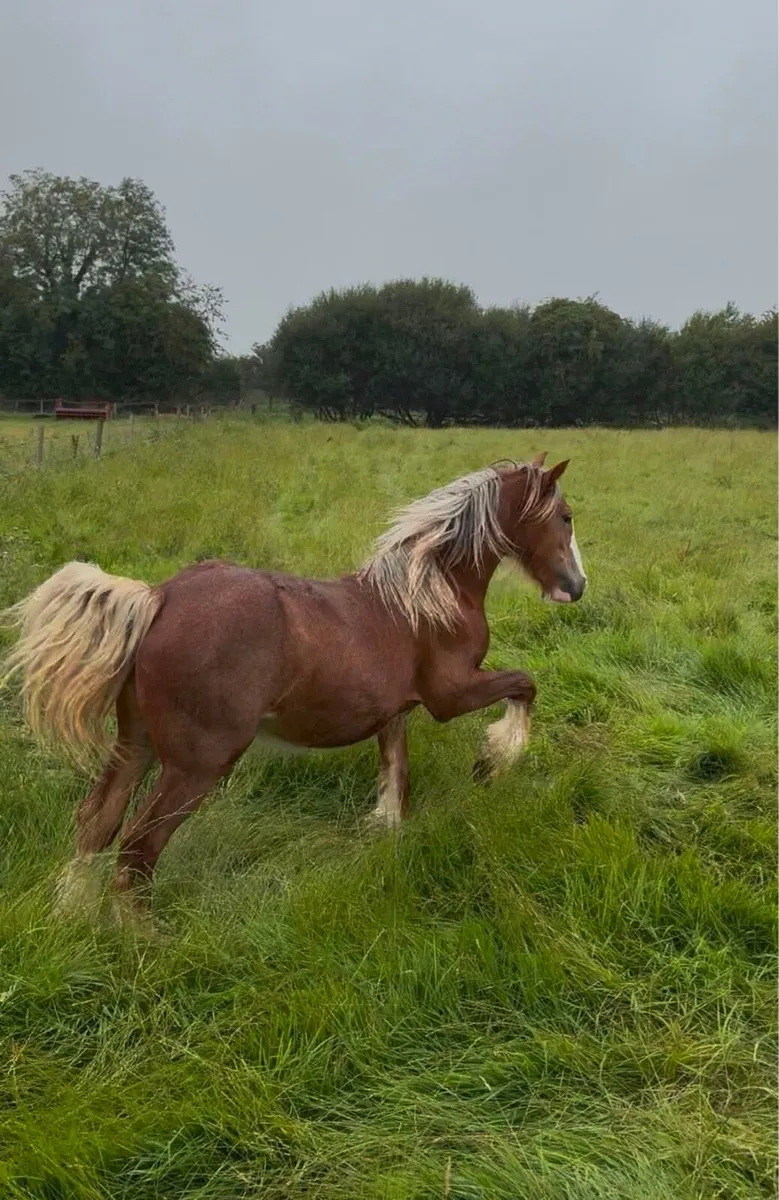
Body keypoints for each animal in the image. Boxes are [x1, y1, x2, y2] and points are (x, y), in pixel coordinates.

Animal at [1, 452, 586, 926]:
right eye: (565, 516)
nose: (576, 587)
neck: (430, 592)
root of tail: (158, 598)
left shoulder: (394, 711)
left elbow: (395, 774)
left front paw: (386, 834)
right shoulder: (451, 694)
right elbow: (524, 686)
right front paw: (494, 759)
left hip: (135, 743)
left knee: (96, 822)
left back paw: (72, 914)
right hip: (197, 763)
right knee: (139, 847)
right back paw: (144, 944)